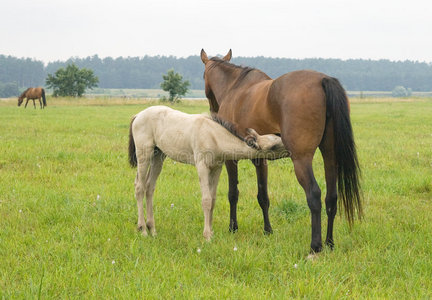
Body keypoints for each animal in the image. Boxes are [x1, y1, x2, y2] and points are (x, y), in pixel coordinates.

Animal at [129, 106, 290, 240]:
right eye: (274, 145)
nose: (290, 149)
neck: (214, 136)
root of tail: (137, 115)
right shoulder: (202, 166)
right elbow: (206, 200)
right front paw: (207, 236)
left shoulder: (216, 168)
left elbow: (213, 200)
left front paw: (211, 232)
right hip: (144, 154)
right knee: (139, 187)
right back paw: (143, 230)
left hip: (158, 156)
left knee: (149, 187)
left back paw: (153, 230)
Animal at [201, 49, 362, 253]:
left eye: (203, 76)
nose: (213, 110)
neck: (235, 88)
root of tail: (323, 80)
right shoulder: (260, 159)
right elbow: (263, 196)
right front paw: (268, 230)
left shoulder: (232, 159)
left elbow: (233, 194)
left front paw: (233, 228)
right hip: (330, 156)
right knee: (331, 197)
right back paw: (329, 243)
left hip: (301, 159)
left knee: (314, 195)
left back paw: (315, 247)